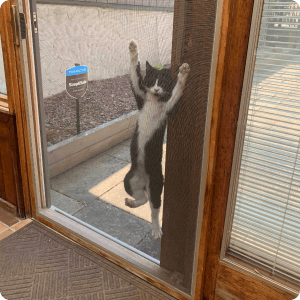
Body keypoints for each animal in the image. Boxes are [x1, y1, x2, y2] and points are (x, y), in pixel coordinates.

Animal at [122, 41, 190, 240]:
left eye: (164, 82)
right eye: (152, 81)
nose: (156, 89)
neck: (154, 100)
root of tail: (145, 181)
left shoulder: (169, 108)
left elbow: (177, 91)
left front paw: (184, 73)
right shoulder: (140, 96)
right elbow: (134, 75)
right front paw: (133, 49)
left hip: (157, 182)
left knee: (154, 207)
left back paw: (156, 230)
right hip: (129, 179)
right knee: (142, 198)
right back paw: (132, 202)